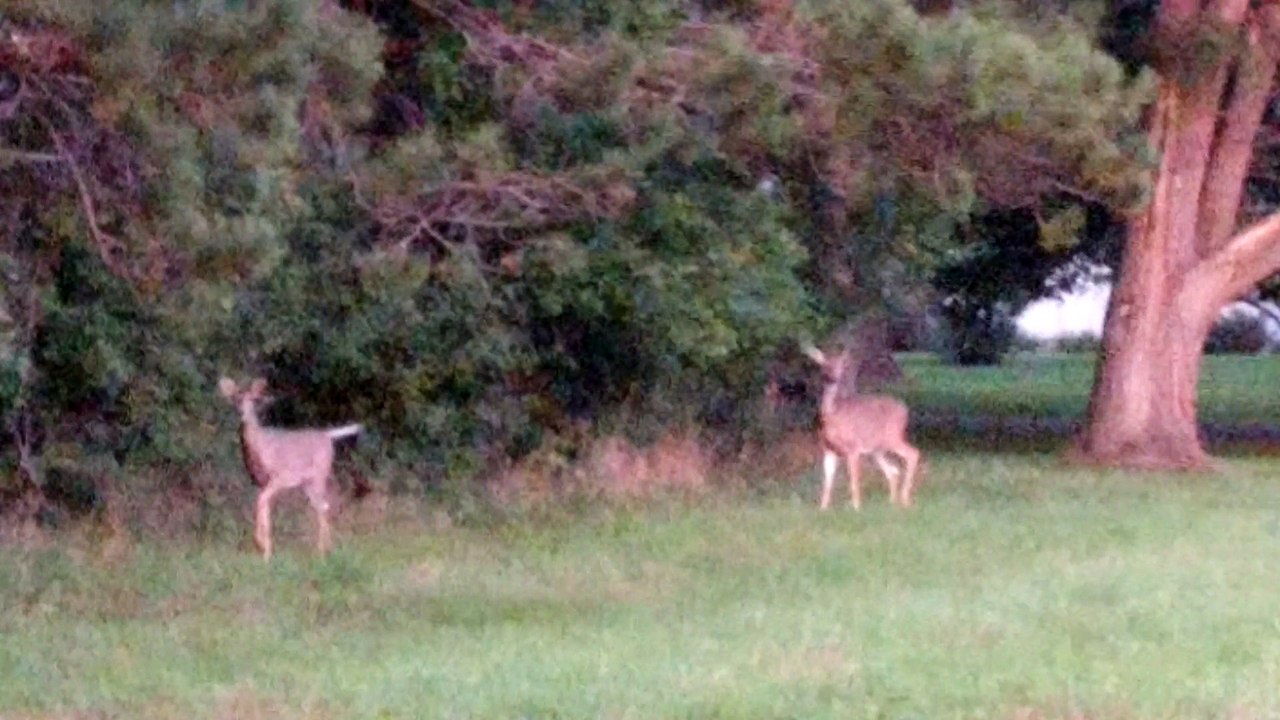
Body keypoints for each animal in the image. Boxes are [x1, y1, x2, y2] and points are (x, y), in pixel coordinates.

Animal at [218, 377, 362, 561]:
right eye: (236, 400)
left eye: (254, 400)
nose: (243, 415)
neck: (260, 447)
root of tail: (327, 435)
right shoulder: (261, 481)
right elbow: (264, 507)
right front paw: (266, 552)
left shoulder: (280, 476)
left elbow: (261, 501)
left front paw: (261, 545)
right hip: (307, 483)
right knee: (322, 506)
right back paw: (325, 549)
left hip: (319, 474)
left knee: (323, 506)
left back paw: (322, 553)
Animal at [801, 342, 921, 511]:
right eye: (824, 364)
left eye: (840, 365)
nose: (830, 378)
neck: (833, 416)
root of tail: (905, 409)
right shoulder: (828, 449)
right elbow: (828, 481)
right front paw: (823, 509)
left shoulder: (853, 448)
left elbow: (854, 480)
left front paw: (856, 507)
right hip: (877, 449)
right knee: (893, 470)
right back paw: (892, 502)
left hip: (892, 437)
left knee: (913, 454)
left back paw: (904, 500)